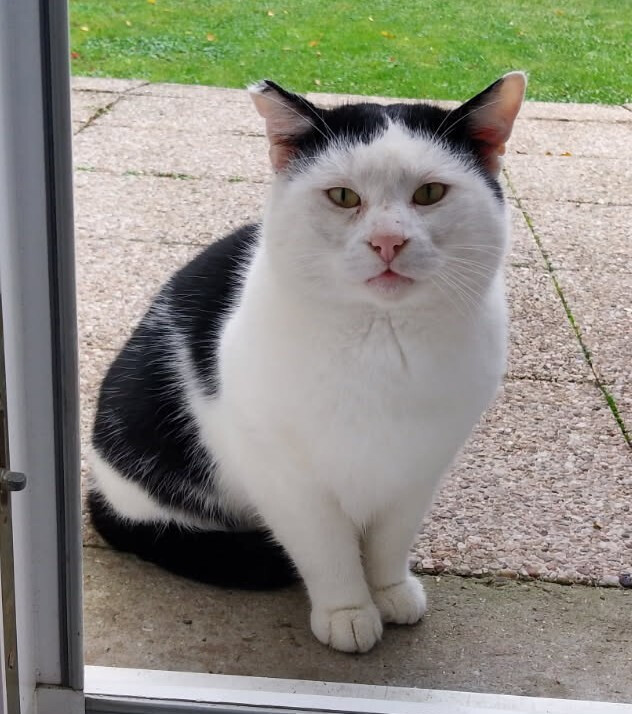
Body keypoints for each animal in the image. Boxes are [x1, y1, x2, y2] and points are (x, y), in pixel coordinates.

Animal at [89, 71, 526, 653]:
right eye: (343, 196)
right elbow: (326, 550)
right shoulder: (286, 478)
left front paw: (389, 591)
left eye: (429, 193)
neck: (381, 344)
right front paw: (348, 610)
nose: (388, 241)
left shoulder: (417, 469)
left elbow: (390, 541)